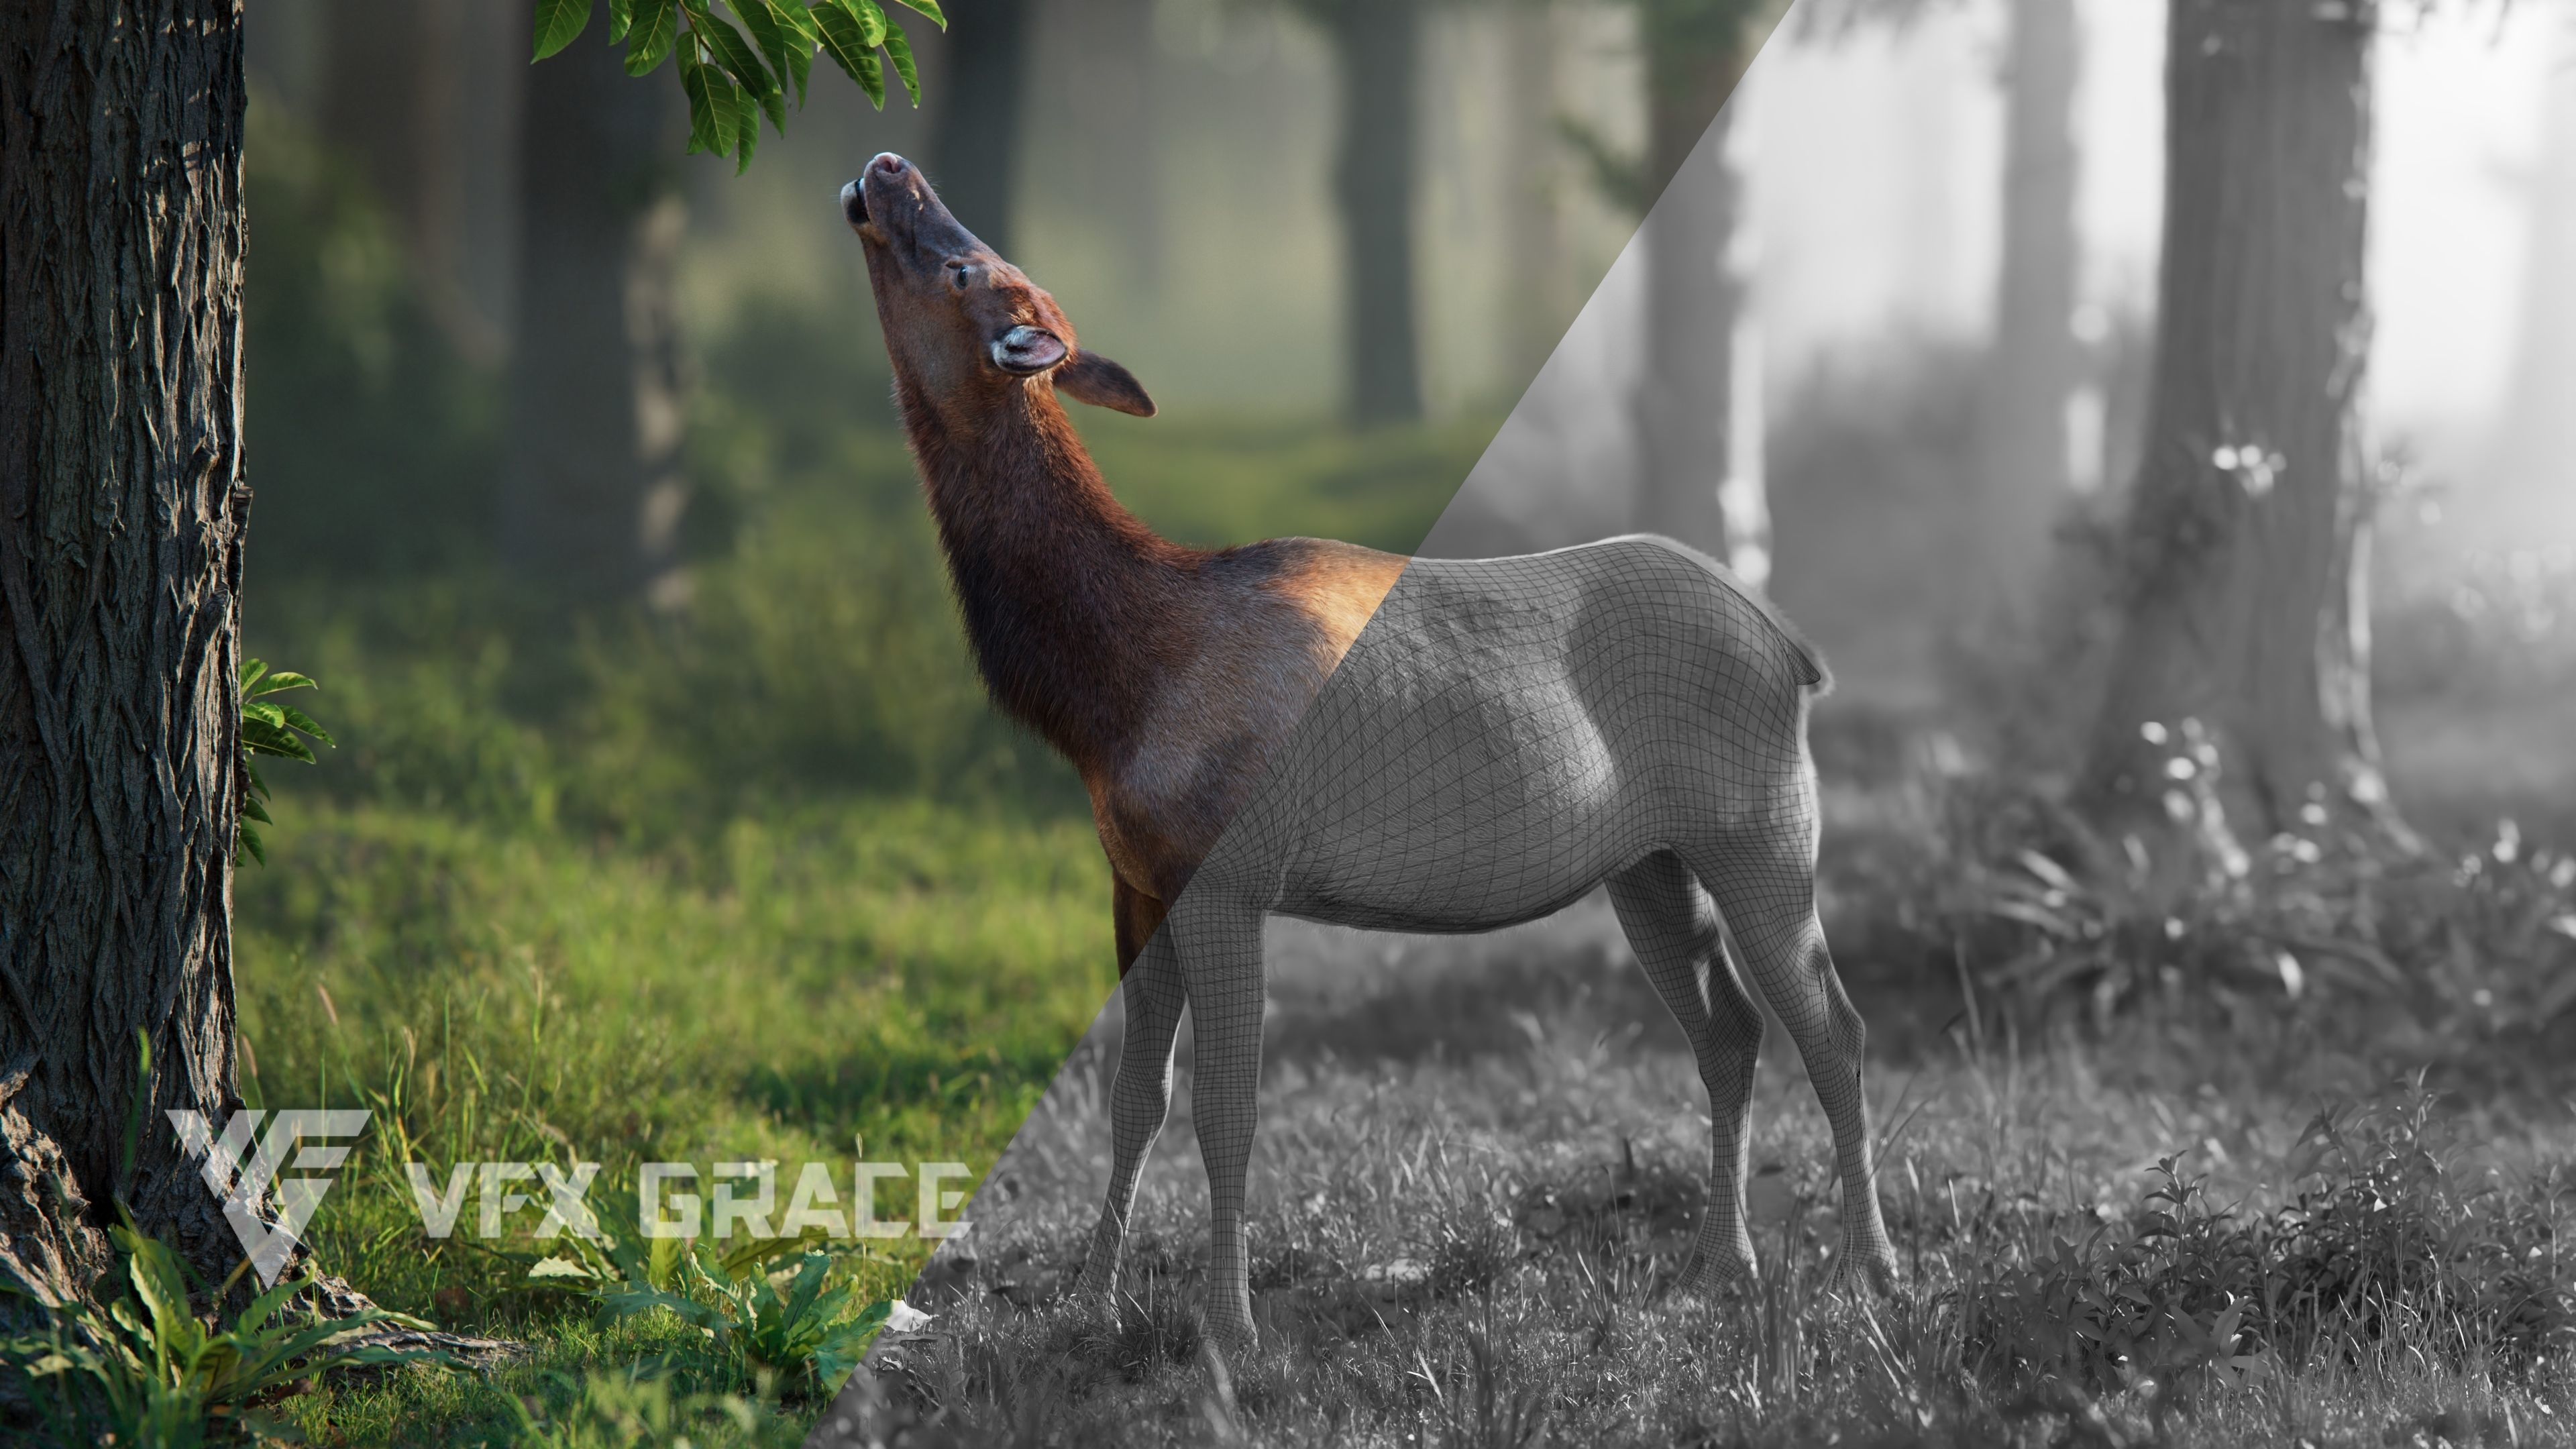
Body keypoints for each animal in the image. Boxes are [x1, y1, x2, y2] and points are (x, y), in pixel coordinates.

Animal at [842, 151, 1898, 1351]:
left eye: (969, 268)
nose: (889, 166)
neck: (1105, 694)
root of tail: (1799, 653)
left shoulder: (1229, 872)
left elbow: (1225, 1107)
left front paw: (1229, 1332)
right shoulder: (1137, 876)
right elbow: (1133, 1097)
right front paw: (1091, 1305)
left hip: (1763, 820)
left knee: (1836, 1025)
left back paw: (1868, 1267)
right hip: (1651, 862)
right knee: (1729, 1030)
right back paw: (1727, 1262)